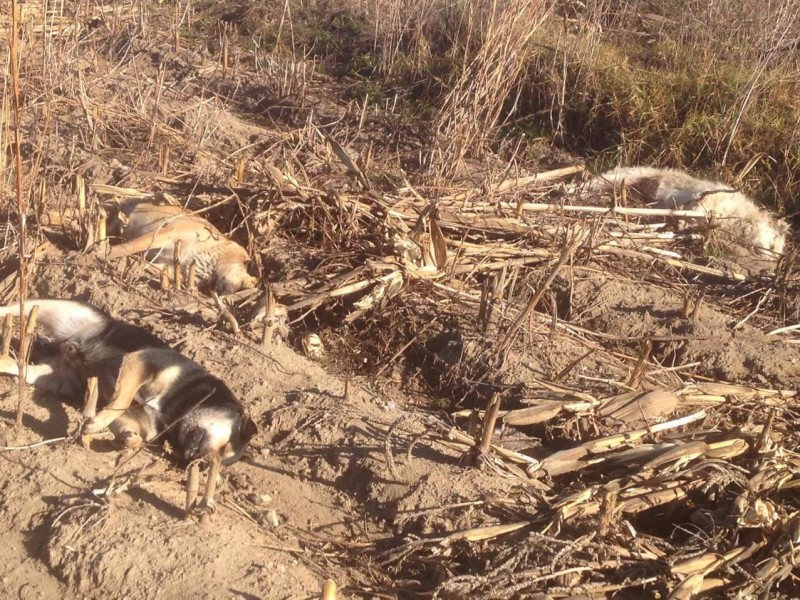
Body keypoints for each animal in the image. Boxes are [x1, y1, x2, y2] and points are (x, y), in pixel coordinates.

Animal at [0, 298, 258, 512]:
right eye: (224, 447)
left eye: (207, 467)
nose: (196, 462)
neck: (177, 410)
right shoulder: (140, 361)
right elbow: (122, 400)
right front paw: (96, 425)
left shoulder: (140, 418)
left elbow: (131, 432)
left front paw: (121, 439)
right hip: (52, 308)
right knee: (12, 308)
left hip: (54, 378)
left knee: (17, 367)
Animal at [104, 199, 258, 296]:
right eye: (243, 281)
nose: (223, 295)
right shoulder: (165, 233)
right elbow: (127, 248)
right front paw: (103, 253)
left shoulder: (169, 267)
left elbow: (148, 267)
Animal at [588, 166, 788, 258]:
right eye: (772, 246)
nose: (770, 258)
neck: (742, 219)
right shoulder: (706, 199)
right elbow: (696, 209)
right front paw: (682, 221)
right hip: (621, 177)